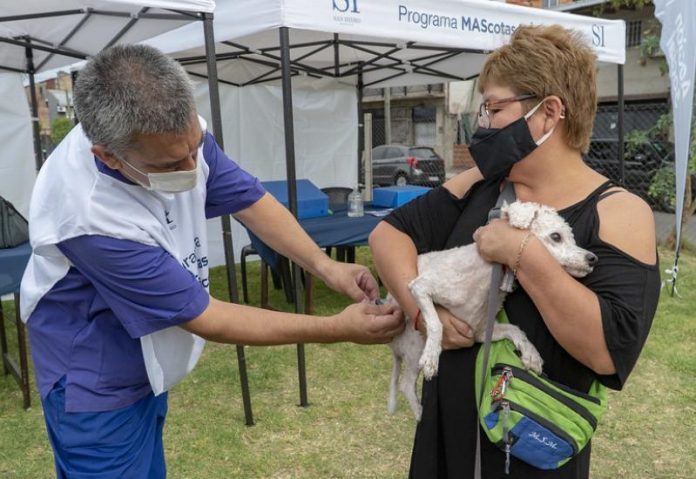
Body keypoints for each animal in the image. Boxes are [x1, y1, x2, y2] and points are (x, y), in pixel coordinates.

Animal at [386, 202, 600, 420]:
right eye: (556, 236)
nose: (593, 258)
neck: (488, 275)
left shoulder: (480, 332)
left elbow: (516, 329)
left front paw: (531, 354)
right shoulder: (420, 287)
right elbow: (437, 324)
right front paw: (431, 358)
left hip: (414, 347)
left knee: (406, 383)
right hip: (415, 343)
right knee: (406, 382)